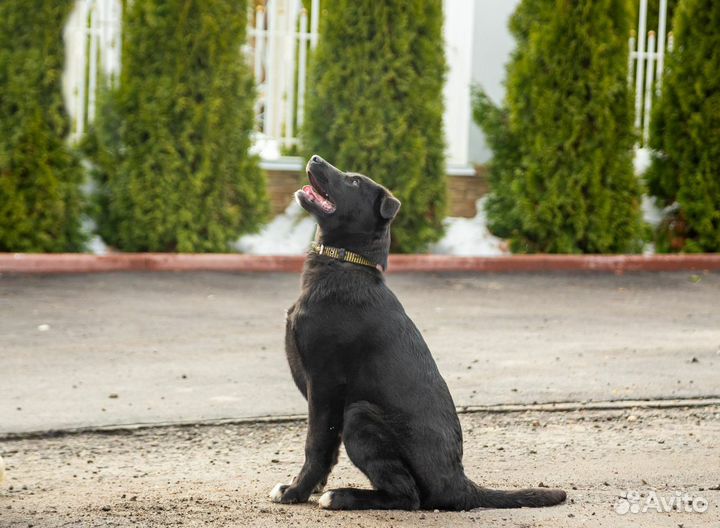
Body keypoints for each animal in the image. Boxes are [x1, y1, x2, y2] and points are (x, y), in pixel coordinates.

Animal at [268, 155, 564, 510]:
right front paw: (309, 487)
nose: (314, 158)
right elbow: (328, 450)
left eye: (353, 181)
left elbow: (316, 444)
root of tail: (459, 483)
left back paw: (342, 496)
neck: (344, 264)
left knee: (408, 496)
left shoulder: (325, 383)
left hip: (360, 415)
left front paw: (296, 492)